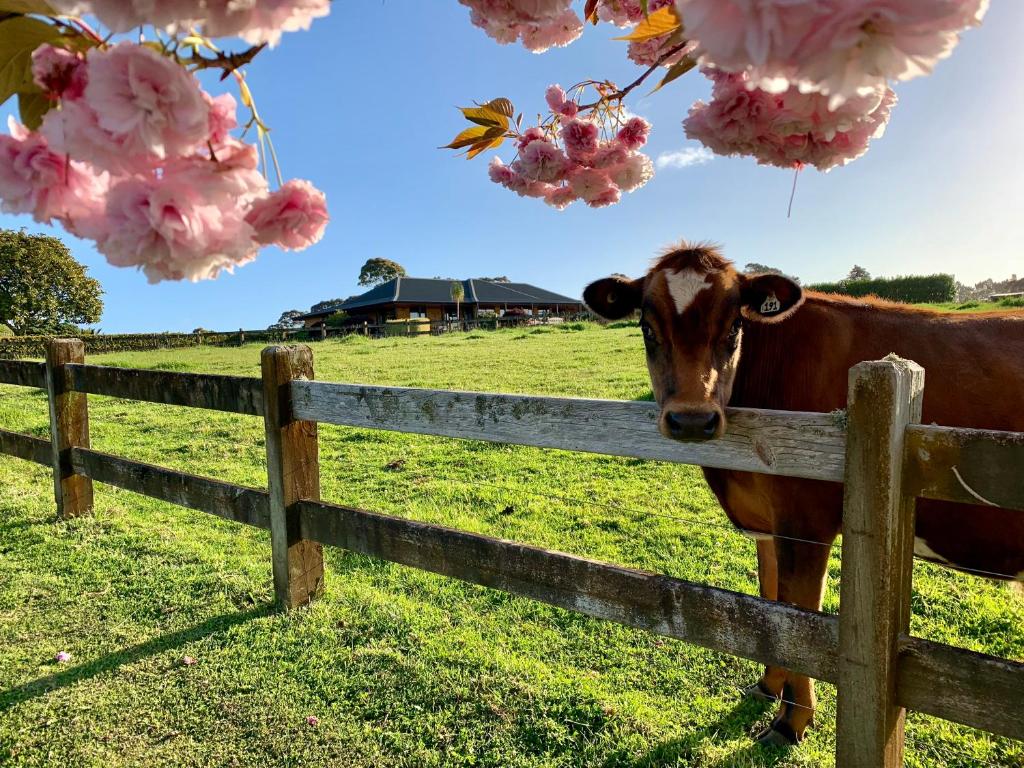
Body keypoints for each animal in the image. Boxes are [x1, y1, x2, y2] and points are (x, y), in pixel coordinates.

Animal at [585, 240, 1024, 745]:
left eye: (735, 325)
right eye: (646, 327)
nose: (692, 420)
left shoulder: (806, 523)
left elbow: (801, 618)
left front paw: (791, 722)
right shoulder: (769, 523)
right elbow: (773, 603)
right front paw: (768, 686)